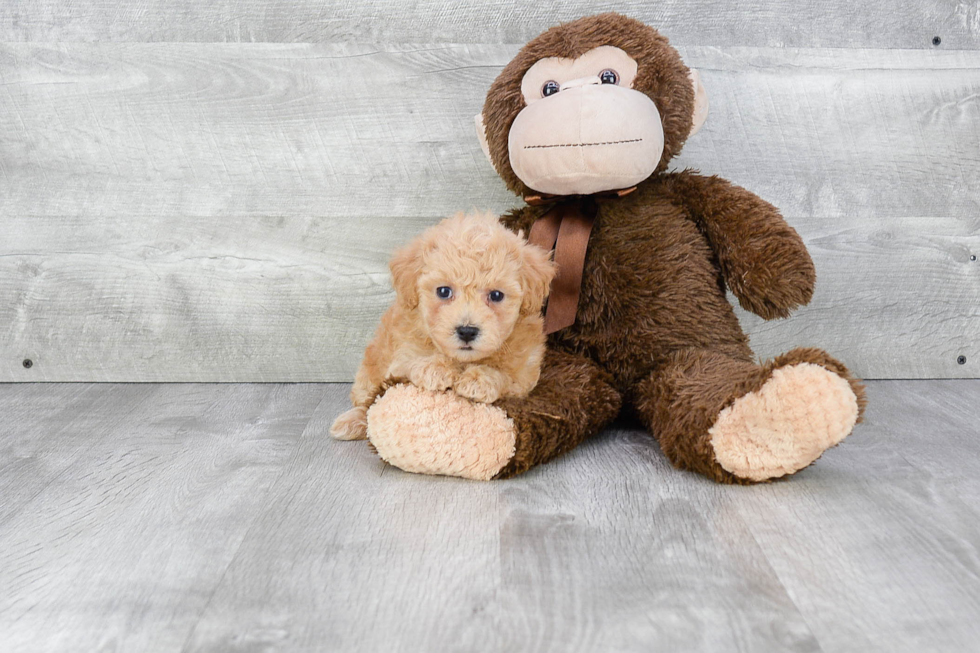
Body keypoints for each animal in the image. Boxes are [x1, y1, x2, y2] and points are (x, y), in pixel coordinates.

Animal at [332, 211, 556, 440]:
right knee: (367, 401)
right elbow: (408, 364)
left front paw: (480, 379)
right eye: (443, 291)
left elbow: (506, 377)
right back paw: (351, 422)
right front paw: (434, 368)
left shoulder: (524, 376)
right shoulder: (400, 355)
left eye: (496, 295)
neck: (462, 360)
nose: (467, 331)